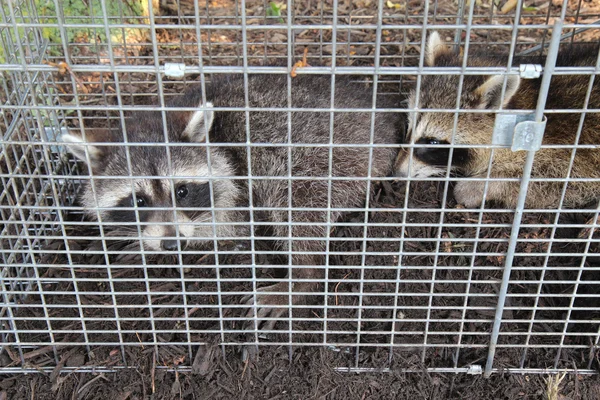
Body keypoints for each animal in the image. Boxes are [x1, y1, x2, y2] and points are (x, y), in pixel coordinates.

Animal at [62, 74, 404, 324]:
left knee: (295, 204)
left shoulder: (239, 188)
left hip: (325, 156)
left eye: (182, 192)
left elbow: (222, 227)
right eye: (139, 202)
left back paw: (301, 279)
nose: (172, 244)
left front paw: (142, 245)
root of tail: (383, 124)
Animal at [394, 32, 600, 209]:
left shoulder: (574, 153)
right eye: (409, 126)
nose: (396, 174)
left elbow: (557, 183)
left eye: (433, 142)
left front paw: (478, 187)